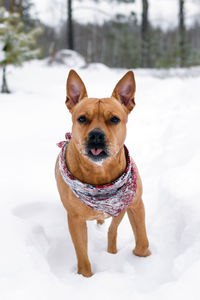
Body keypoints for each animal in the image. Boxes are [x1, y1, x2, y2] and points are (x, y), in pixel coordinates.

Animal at [54, 69, 150, 278]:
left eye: (114, 119)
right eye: (82, 118)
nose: (96, 135)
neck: (100, 173)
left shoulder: (135, 205)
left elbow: (142, 240)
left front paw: (143, 258)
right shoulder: (75, 220)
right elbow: (82, 256)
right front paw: (86, 277)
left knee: (112, 230)